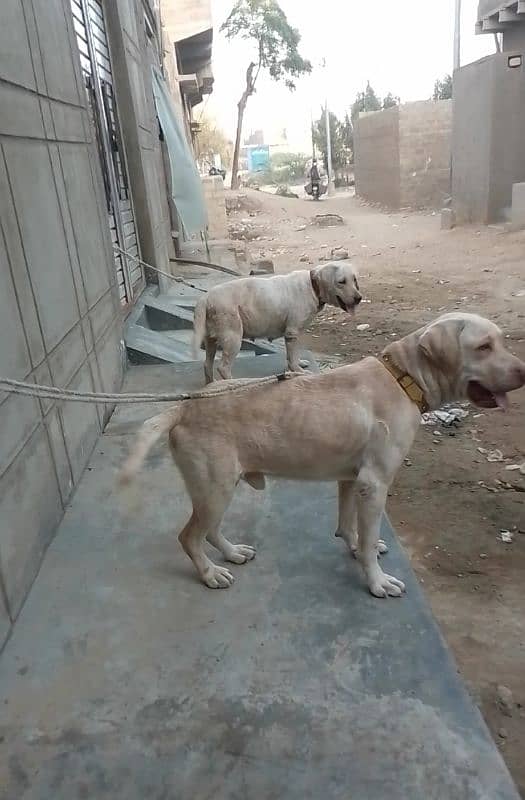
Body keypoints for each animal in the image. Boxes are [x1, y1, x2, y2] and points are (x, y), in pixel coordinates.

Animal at [119, 312, 524, 600]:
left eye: (501, 341)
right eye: (484, 347)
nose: (524, 371)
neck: (403, 377)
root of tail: (185, 407)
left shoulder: (351, 479)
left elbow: (349, 525)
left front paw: (356, 546)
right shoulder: (374, 485)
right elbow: (367, 538)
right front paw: (376, 581)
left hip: (219, 486)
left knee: (210, 530)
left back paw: (231, 553)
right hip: (215, 487)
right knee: (189, 537)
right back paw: (210, 574)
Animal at [192, 260, 360, 382]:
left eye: (354, 280)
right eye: (341, 282)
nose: (359, 298)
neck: (312, 286)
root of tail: (205, 298)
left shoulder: (294, 334)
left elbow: (293, 354)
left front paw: (299, 364)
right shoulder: (292, 333)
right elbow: (292, 357)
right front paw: (298, 371)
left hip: (211, 340)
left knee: (207, 365)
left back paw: (212, 385)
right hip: (232, 338)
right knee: (223, 368)